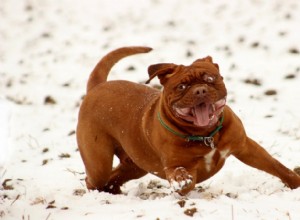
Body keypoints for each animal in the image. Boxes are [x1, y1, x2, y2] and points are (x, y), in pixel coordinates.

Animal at [77, 46, 300, 194]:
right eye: (182, 87)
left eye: (210, 79)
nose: (200, 90)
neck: (206, 135)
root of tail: (97, 87)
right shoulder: (175, 165)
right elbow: (181, 174)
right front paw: (182, 181)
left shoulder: (246, 147)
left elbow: (275, 166)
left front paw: (295, 182)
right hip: (99, 162)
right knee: (96, 178)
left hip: (135, 165)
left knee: (115, 177)